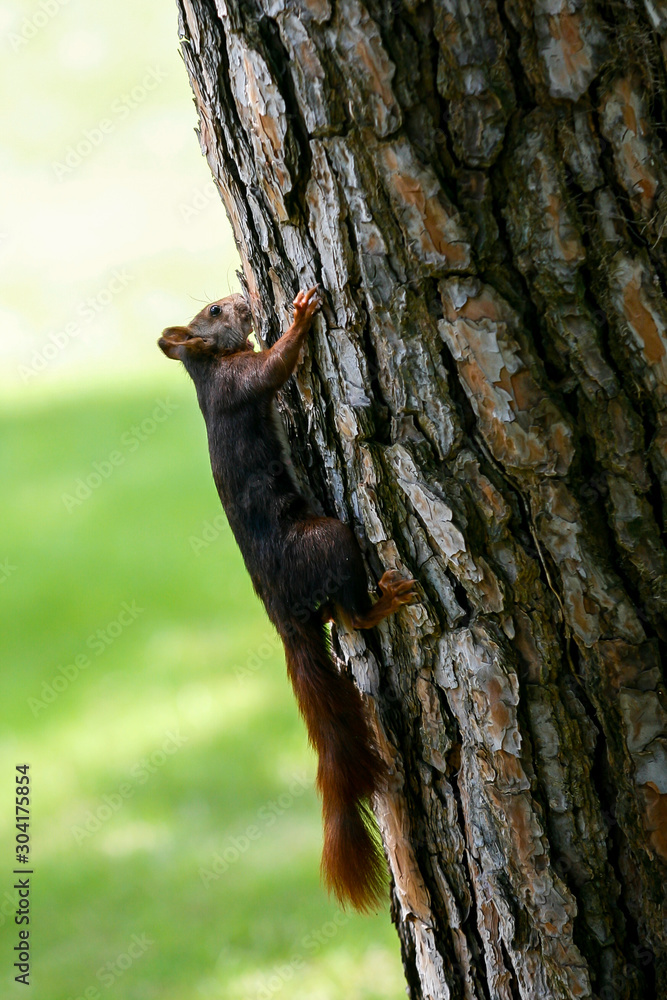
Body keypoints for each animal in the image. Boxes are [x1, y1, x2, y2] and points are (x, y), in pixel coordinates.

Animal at [158, 286, 416, 911]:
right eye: (215, 312)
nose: (241, 295)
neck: (208, 369)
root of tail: (283, 619)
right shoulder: (242, 382)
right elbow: (274, 367)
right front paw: (298, 318)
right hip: (329, 541)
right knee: (351, 613)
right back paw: (385, 601)